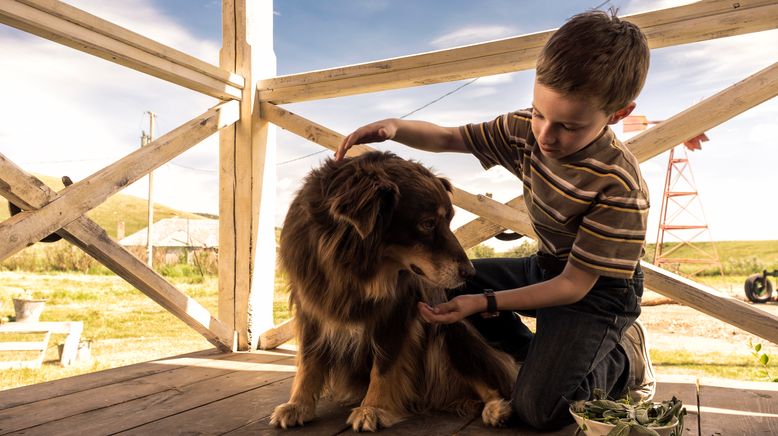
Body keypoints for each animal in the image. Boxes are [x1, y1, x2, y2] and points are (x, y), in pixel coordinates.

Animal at [270, 152, 520, 430]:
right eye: (428, 223)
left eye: (449, 221)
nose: (470, 272)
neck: (354, 267)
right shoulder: (311, 309)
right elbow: (308, 362)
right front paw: (298, 405)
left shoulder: (398, 314)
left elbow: (384, 365)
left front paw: (372, 408)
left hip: (453, 334)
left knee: (490, 379)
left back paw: (497, 408)